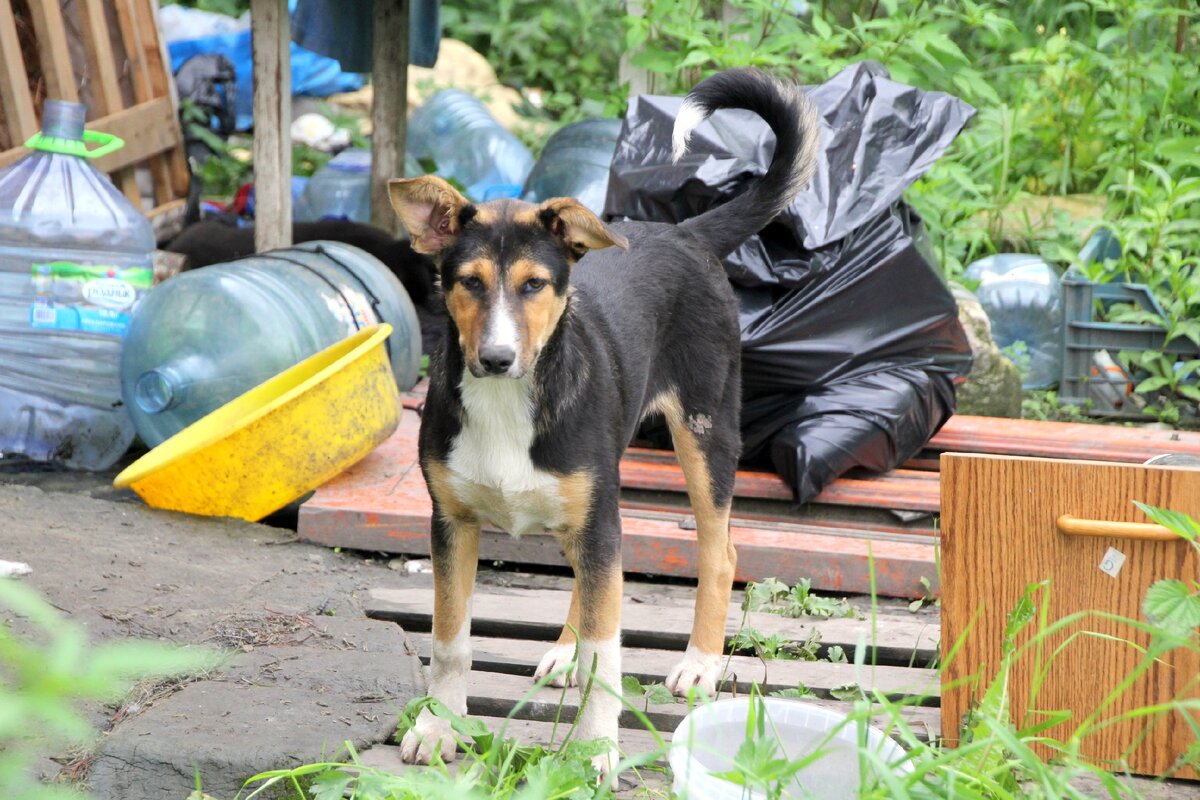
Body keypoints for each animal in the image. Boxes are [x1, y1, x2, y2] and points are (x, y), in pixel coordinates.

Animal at [388, 68, 820, 777]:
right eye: (469, 282)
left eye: (535, 285)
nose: (496, 358)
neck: (511, 400)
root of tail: (684, 233)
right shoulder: (450, 521)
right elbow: (451, 640)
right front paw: (437, 725)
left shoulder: (597, 518)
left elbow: (607, 653)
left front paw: (594, 747)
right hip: (599, 493)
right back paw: (565, 648)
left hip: (704, 434)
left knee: (719, 551)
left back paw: (700, 665)